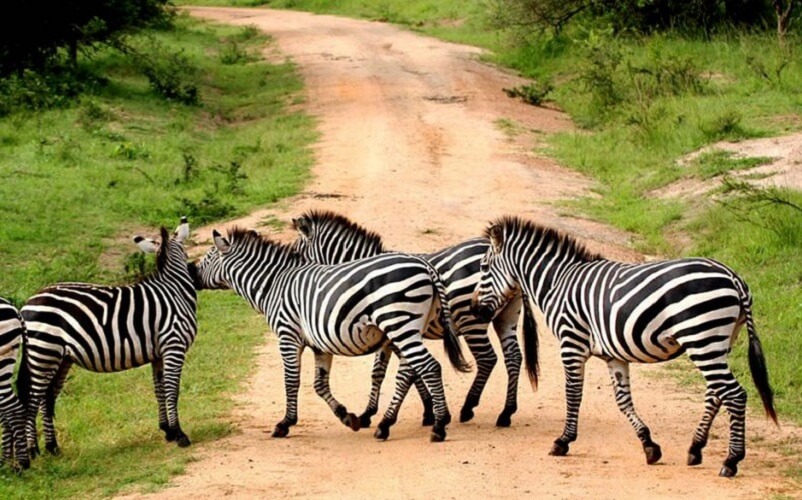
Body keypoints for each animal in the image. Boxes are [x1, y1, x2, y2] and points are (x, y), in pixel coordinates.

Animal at [16, 217, 200, 456]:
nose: (196, 274)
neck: (174, 290)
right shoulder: (173, 346)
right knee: (32, 399)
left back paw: (52, 447)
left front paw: (167, 430)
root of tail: (27, 304)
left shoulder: (158, 354)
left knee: (47, 399)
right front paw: (179, 433)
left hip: (59, 358)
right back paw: (33, 450)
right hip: (43, 354)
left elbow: (159, 390)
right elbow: (172, 390)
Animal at [195, 227, 470, 441]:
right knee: (410, 372)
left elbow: (291, 381)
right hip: (408, 328)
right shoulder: (319, 344)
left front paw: (285, 423)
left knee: (429, 367)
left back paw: (439, 425)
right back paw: (386, 425)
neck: (274, 285)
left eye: (207, 257)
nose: (190, 270)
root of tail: (426, 267)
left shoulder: (288, 335)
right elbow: (319, 385)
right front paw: (348, 417)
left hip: (400, 323)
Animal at [291, 210, 537, 428]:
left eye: (296, 253)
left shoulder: (397, 330)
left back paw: (468, 407)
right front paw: (382, 412)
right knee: (513, 357)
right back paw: (506, 412)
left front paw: (426, 411)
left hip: (471, 320)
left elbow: (405, 372)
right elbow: (383, 372)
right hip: (505, 316)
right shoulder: (390, 333)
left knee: (487, 359)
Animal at [470, 215, 777, 477]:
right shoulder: (613, 356)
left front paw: (564, 441)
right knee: (716, 393)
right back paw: (695, 449)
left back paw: (731, 461)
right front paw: (649, 446)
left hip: (702, 338)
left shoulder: (571, 343)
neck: (557, 283)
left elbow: (573, 394)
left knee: (734, 394)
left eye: (483, 268)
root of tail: (733, 277)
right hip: (717, 342)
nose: (475, 310)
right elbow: (623, 400)